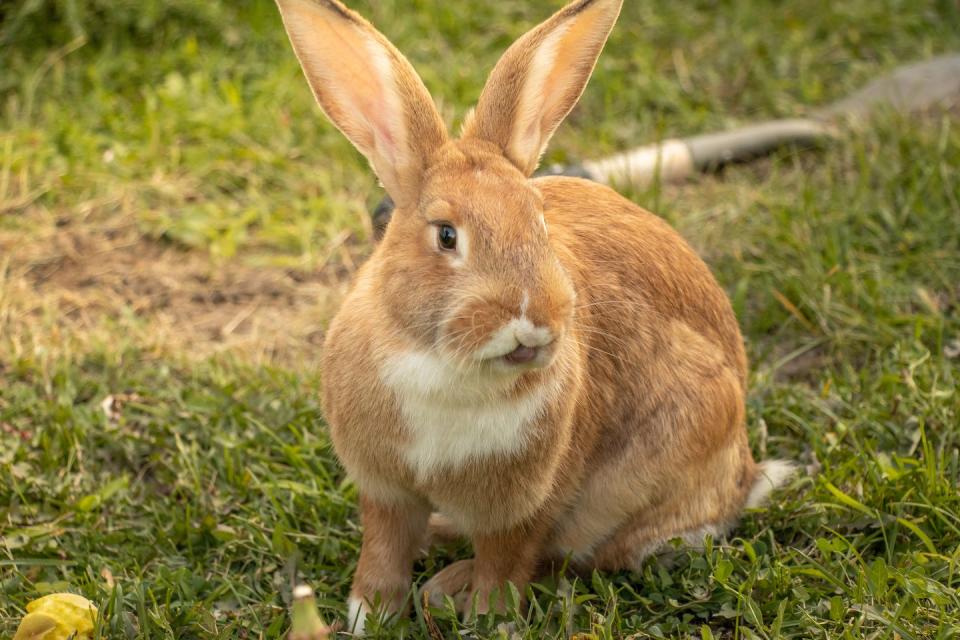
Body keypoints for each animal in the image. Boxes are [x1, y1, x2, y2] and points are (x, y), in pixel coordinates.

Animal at [272, 0, 796, 632]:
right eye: (446, 235)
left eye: (539, 220)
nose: (534, 322)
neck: (444, 364)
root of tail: (743, 478)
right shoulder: (385, 489)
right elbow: (384, 550)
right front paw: (366, 617)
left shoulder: (526, 503)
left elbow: (509, 561)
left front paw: (486, 619)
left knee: (583, 557)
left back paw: (448, 585)